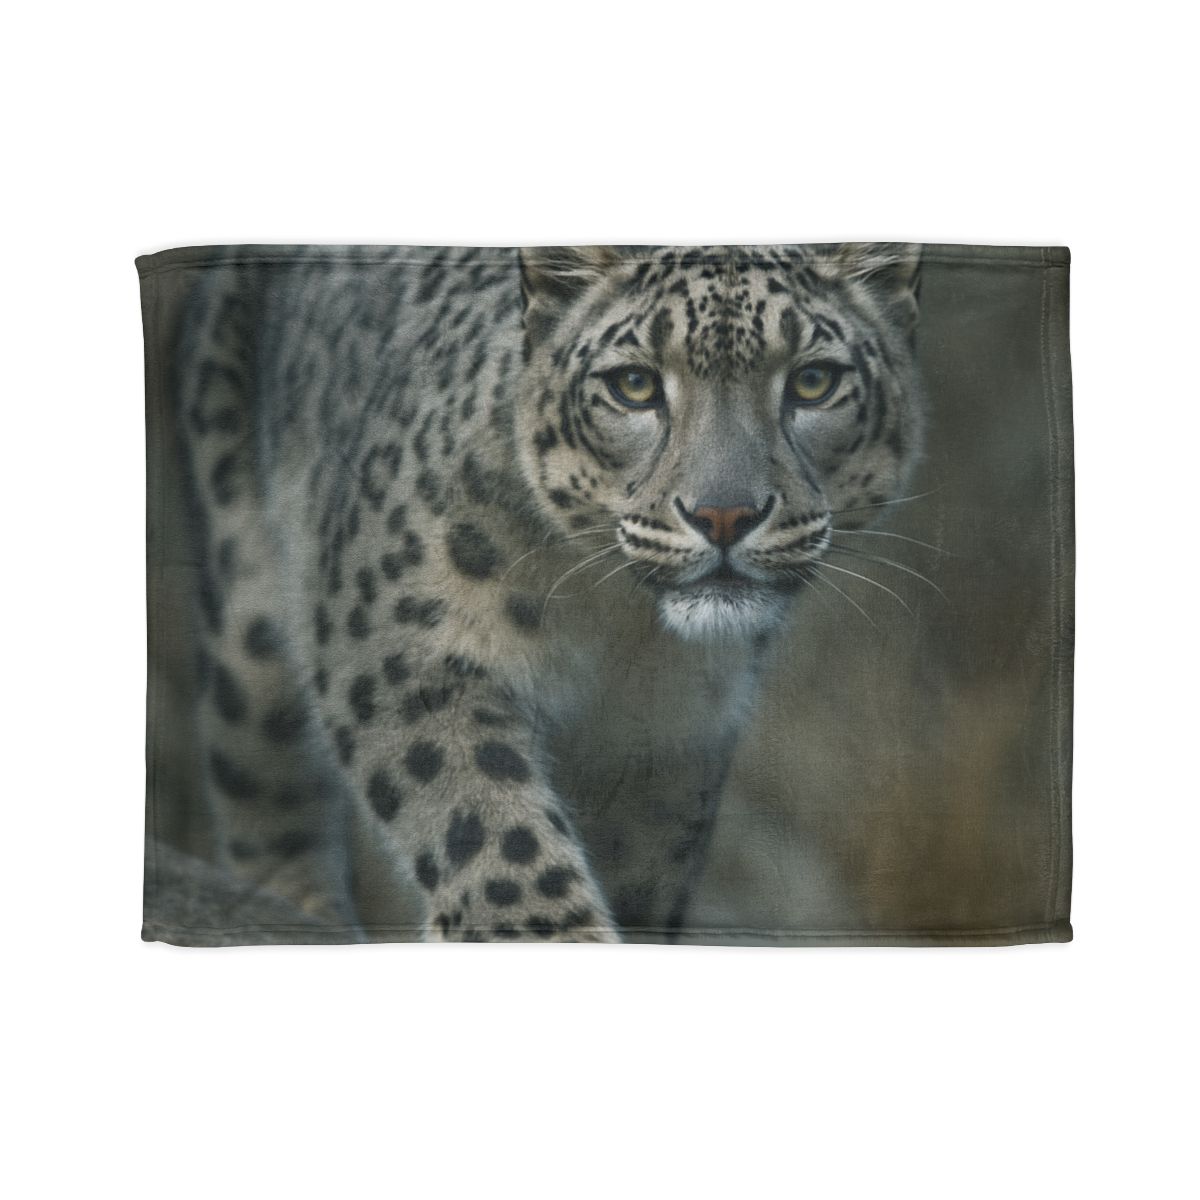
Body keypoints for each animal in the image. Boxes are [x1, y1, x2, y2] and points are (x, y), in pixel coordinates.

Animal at [158, 242, 924, 943]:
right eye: (635, 385)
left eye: (815, 381)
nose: (724, 515)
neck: (621, 630)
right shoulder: (406, 645)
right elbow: (484, 816)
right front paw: (542, 932)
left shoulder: (672, 743)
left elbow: (643, 862)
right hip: (246, 616)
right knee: (262, 786)